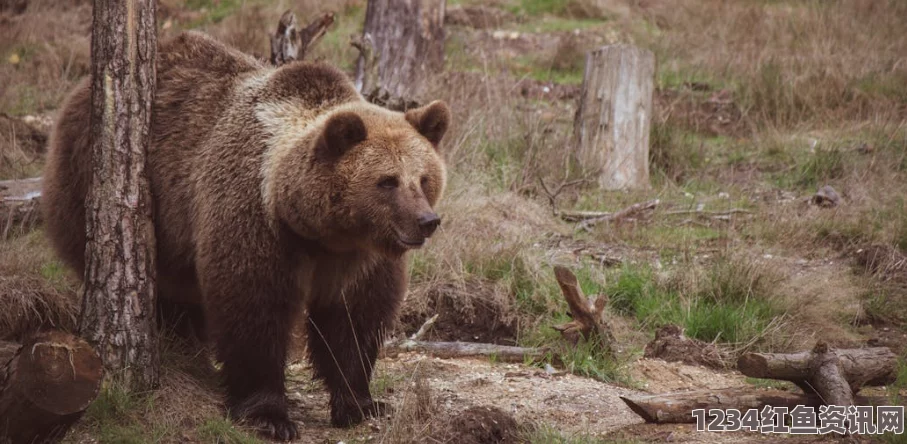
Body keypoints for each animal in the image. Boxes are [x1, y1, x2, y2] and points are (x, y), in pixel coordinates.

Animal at [44, 32, 448, 440]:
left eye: (423, 178)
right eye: (387, 181)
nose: (426, 221)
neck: (318, 230)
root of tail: (79, 92)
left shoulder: (358, 258)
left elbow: (353, 319)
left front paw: (361, 403)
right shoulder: (255, 220)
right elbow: (253, 308)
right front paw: (268, 415)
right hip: (101, 185)